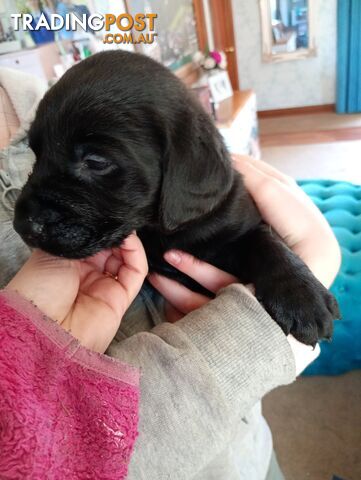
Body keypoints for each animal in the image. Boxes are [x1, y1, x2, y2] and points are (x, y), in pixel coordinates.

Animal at [14, 51, 338, 344]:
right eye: (36, 153)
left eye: (95, 161)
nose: (22, 226)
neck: (164, 230)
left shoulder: (240, 221)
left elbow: (266, 240)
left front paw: (300, 294)